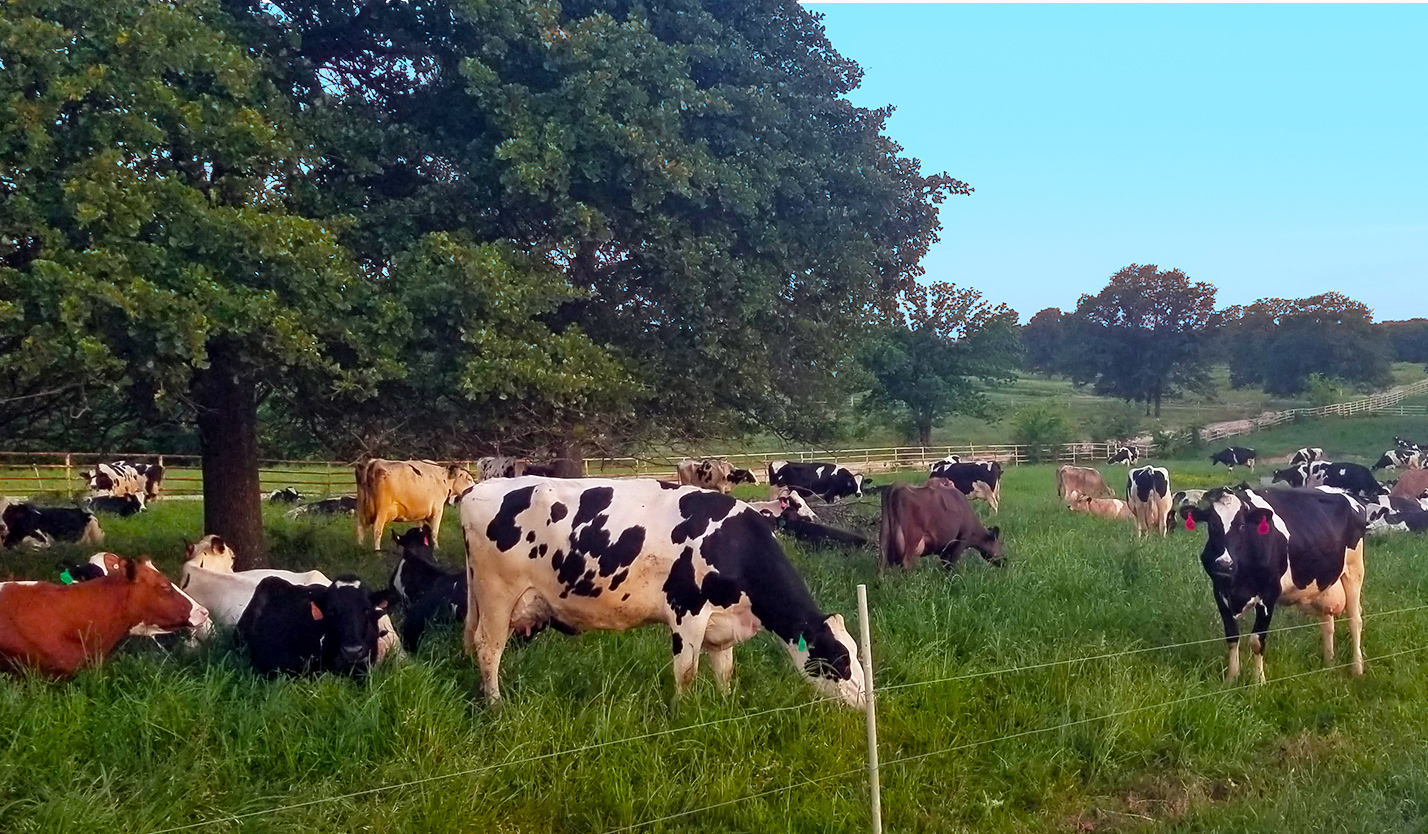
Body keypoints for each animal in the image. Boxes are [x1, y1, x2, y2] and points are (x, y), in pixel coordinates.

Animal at [458, 477, 866, 707]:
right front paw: (681, 715)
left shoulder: (721, 624)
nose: (866, 702)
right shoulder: (687, 613)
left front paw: (725, 707)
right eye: (839, 662)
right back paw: (496, 707)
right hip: (498, 595)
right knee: (488, 648)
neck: (732, 544)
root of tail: (478, 488)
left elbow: (725, 672)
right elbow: (686, 673)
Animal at [1181, 486, 1366, 683]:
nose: (1224, 564)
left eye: (1242, 526)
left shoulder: (1268, 595)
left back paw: (1357, 668)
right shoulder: (1220, 593)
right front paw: (1231, 679)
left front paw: (1258, 681)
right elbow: (1231, 637)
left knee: (1355, 620)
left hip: (1354, 570)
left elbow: (1256, 641)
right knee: (1327, 622)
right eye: (1212, 524)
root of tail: (1342, 491)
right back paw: (1329, 662)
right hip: (1323, 583)